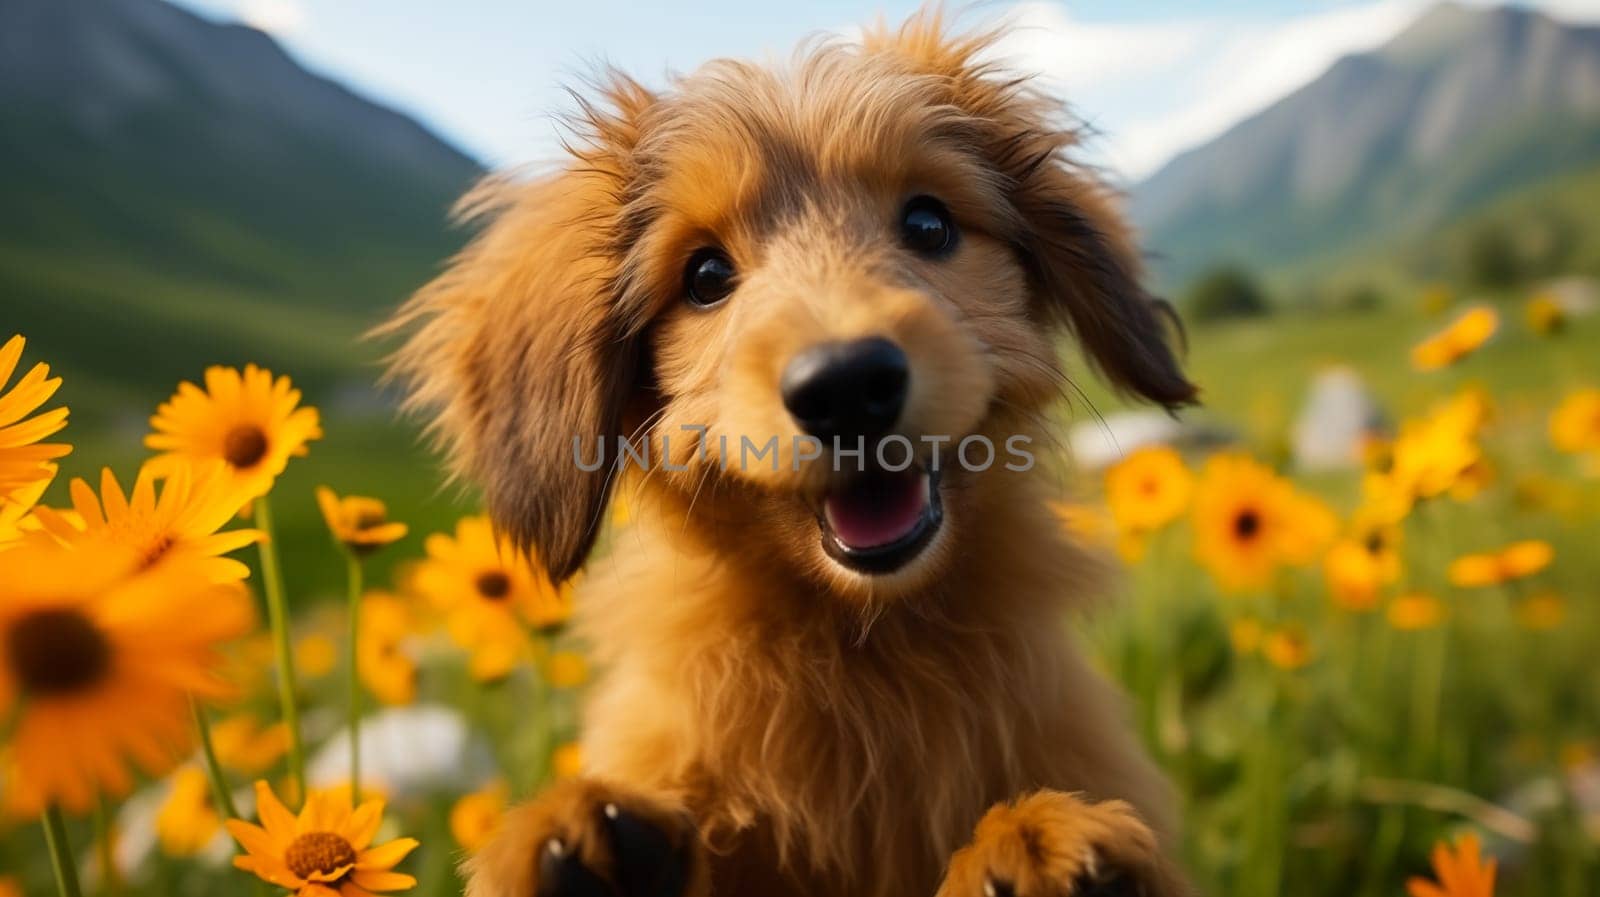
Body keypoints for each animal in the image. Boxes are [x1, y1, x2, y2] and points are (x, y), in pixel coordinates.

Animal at [384, 8, 1190, 895]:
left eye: (929, 223)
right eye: (705, 275)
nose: (846, 386)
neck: (864, 649)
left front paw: (1030, 837)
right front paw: (570, 840)